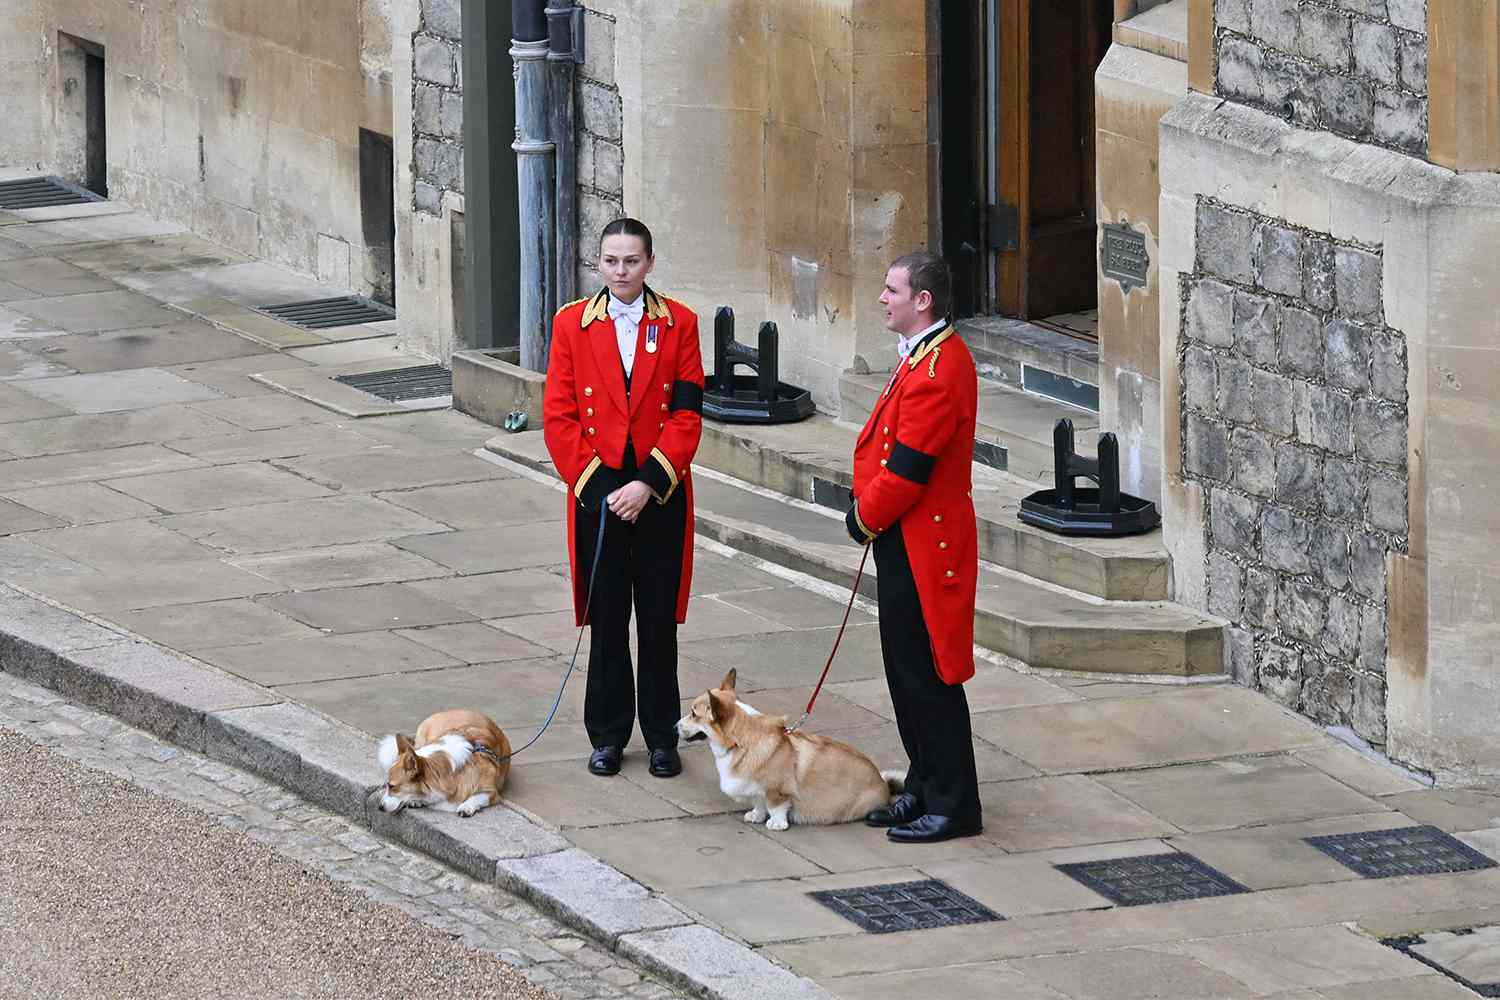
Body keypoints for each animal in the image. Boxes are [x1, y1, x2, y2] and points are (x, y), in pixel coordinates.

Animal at [378, 707, 513, 815]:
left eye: (391, 786)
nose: (379, 807)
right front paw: (415, 800)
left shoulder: (492, 793)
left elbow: (477, 797)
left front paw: (466, 806)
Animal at [681, 671, 900, 827]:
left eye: (694, 714)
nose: (676, 727)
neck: (741, 741)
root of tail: (884, 785)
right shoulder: (755, 790)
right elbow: (759, 803)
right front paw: (756, 815)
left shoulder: (777, 791)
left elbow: (776, 806)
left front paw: (776, 824)